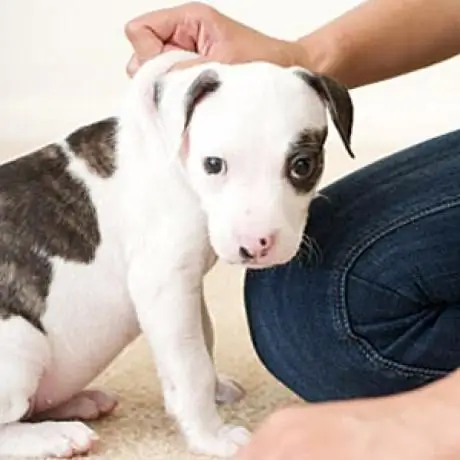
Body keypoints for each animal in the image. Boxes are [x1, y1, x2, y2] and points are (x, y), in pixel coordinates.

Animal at [0, 48, 354, 458]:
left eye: (302, 165)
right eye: (213, 164)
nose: (255, 244)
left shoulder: (186, 286)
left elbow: (202, 340)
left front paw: (214, 392)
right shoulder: (164, 283)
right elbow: (191, 367)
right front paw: (211, 436)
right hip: (21, 343)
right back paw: (55, 436)